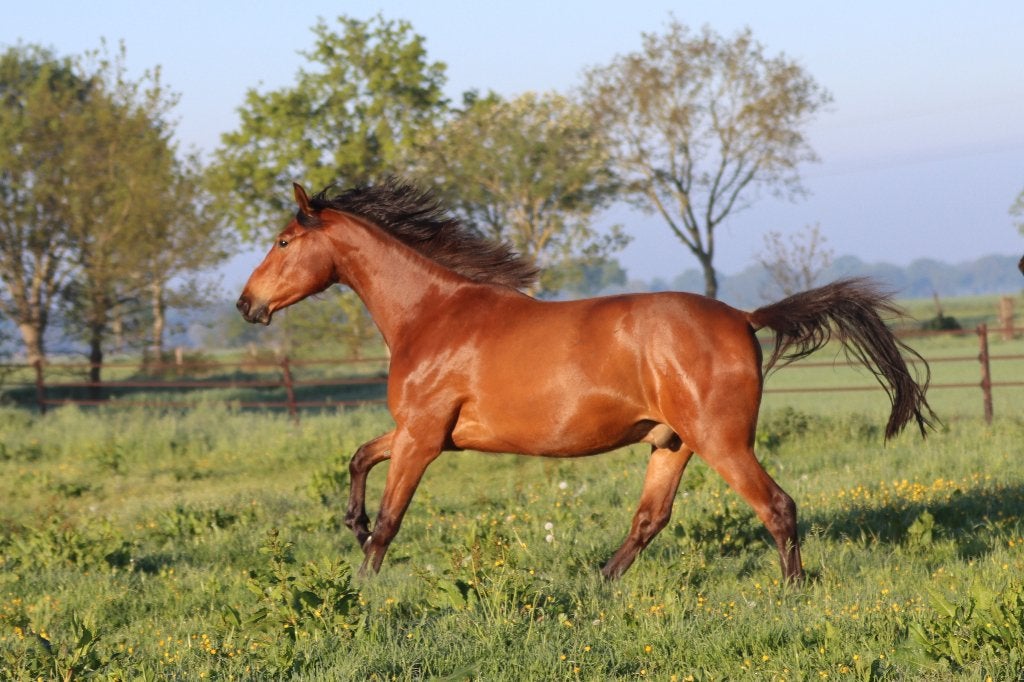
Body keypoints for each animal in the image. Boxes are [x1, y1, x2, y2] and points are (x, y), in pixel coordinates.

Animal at [236, 178, 936, 582]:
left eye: (282, 241)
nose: (247, 305)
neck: (430, 315)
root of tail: (742, 316)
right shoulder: (421, 432)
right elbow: (359, 458)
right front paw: (351, 527)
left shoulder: (423, 438)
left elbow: (390, 519)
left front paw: (362, 590)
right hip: (672, 443)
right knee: (649, 520)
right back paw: (597, 586)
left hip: (721, 441)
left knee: (777, 507)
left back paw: (791, 592)